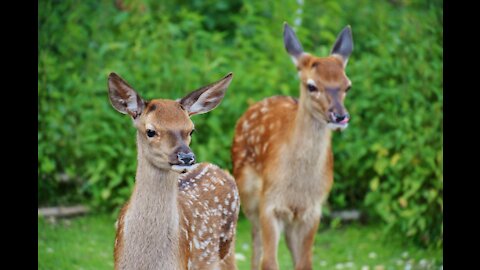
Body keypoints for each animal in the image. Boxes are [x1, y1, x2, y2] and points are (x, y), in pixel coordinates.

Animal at [231, 23, 354, 270]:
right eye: (312, 86)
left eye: (347, 86)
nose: (340, 116)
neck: (297, 187)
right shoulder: (270, 203)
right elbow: (268, 261)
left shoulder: (313, 210)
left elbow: (305, 262)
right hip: (248, 194)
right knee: (256, 245)